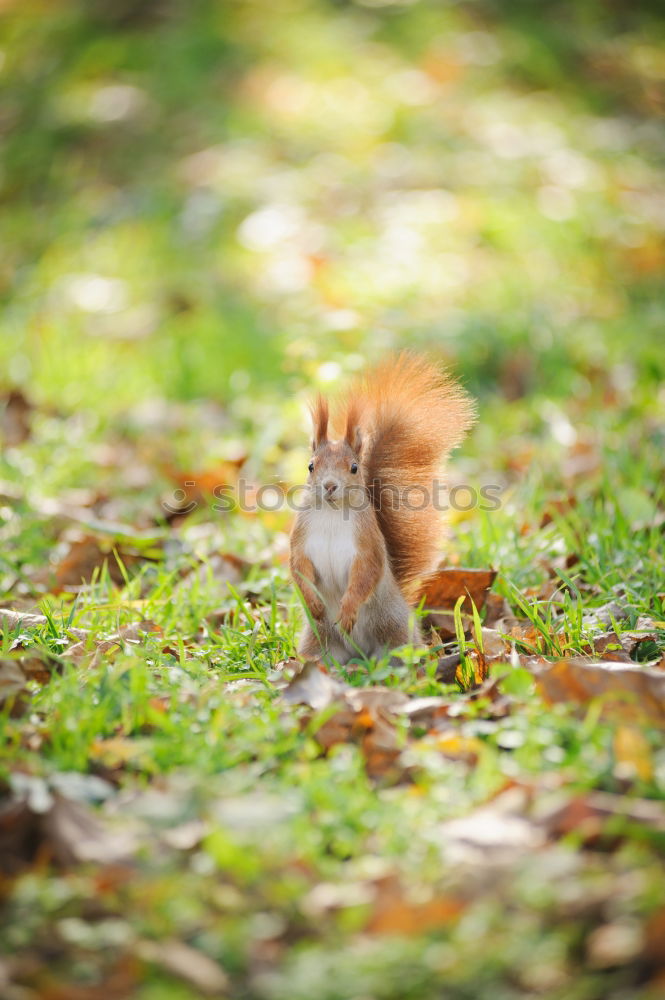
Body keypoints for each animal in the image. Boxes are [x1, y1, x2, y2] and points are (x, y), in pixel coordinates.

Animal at [290, 352, 472, 664]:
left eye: (353, 468)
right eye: (311, 466)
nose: (329, 486)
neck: (332, 513)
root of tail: (359, 654)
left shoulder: (367, 541)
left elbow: (367, 572)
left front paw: (348, 610)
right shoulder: (301, 536)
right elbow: (298, 566)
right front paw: (312, 601)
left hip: (393, 628)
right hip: (318, 639)